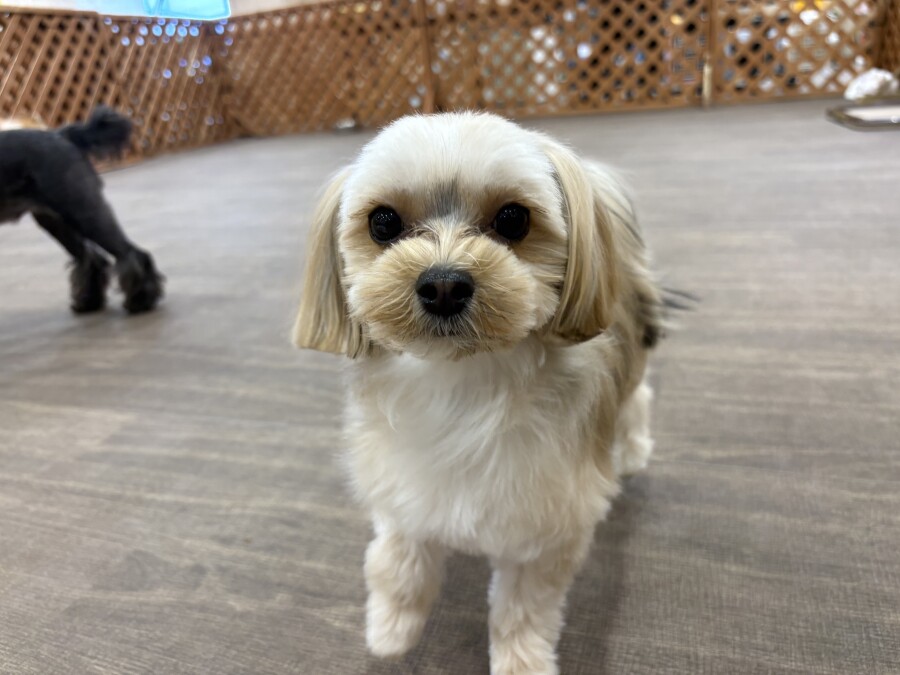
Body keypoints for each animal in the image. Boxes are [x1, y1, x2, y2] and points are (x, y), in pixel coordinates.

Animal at [0, 107, 163, 314]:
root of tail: (61, 135)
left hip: (84, 212)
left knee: (129, 252)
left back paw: (140, 301)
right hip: (59, 222)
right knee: (90, 257)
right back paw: (89, 302)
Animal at [293, 112, 666, 675]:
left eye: (513, 219)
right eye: (383, 223)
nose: (443, 284)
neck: (463, 384)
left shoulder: (546, 526)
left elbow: (522, 610)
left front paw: (521, 662)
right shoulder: (403, 485)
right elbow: (396, 560)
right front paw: (392, 628)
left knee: (636, 398)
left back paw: (632, 453)